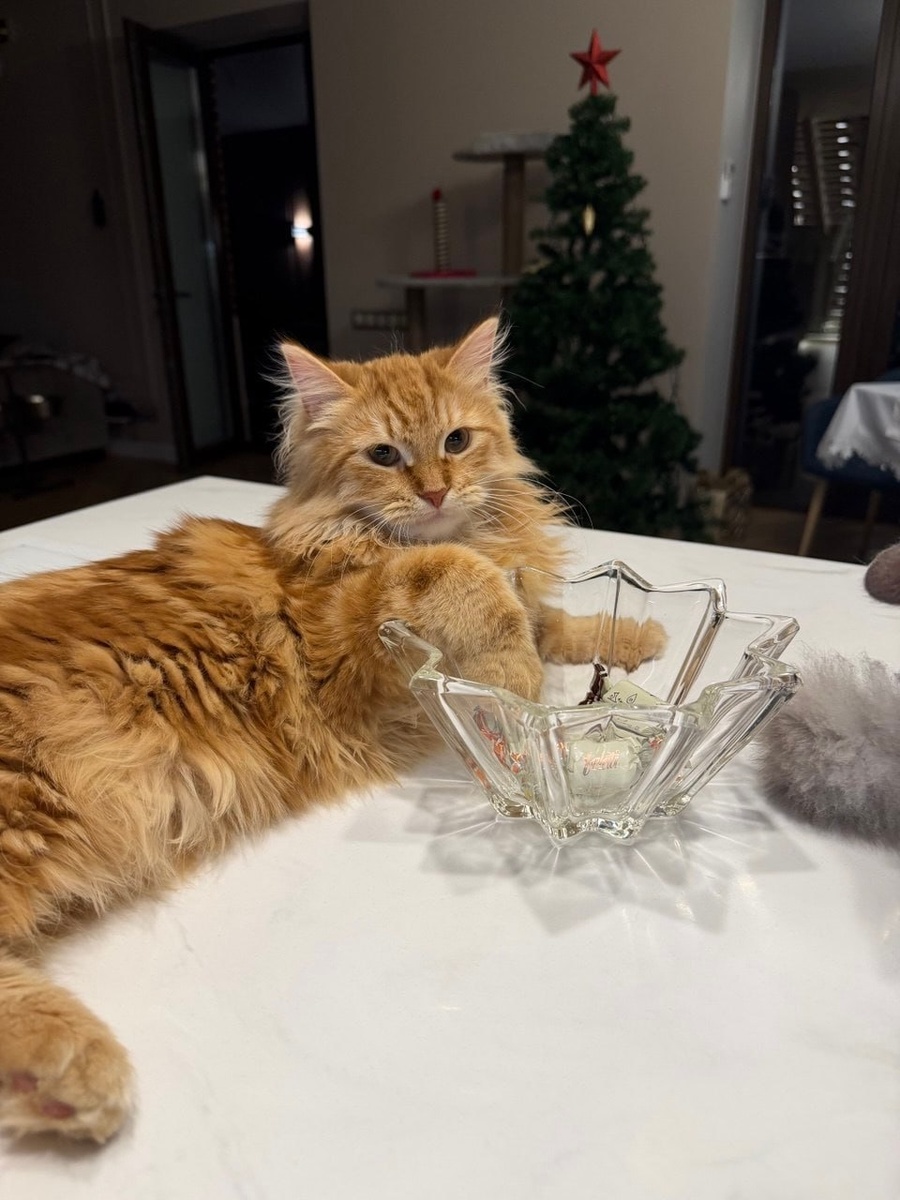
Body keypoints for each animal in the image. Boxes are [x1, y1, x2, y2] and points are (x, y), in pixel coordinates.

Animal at [0, 317, 665, 1143]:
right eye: (384, 455)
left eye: (456, 441)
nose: (435, 489)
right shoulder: (349, 648)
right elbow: (467, 579)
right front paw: (514, 678)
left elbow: (555, 619)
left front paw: (633, 634)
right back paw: (73, 1068)